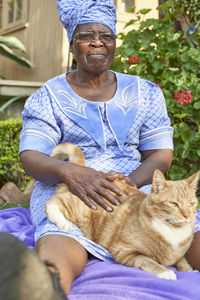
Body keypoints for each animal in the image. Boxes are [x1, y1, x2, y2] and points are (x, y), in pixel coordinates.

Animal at [46, 142, 199, 278]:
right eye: (173, 204)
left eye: (191, 204)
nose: (187, 216)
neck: (173, 231)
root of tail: (84, 169)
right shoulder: (125, 252)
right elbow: (149, 261)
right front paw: (166, 272)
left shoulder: (178, 254)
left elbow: (182, 259)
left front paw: (188, 269)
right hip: (78, 209)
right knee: (52, 203)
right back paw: (63, 223)